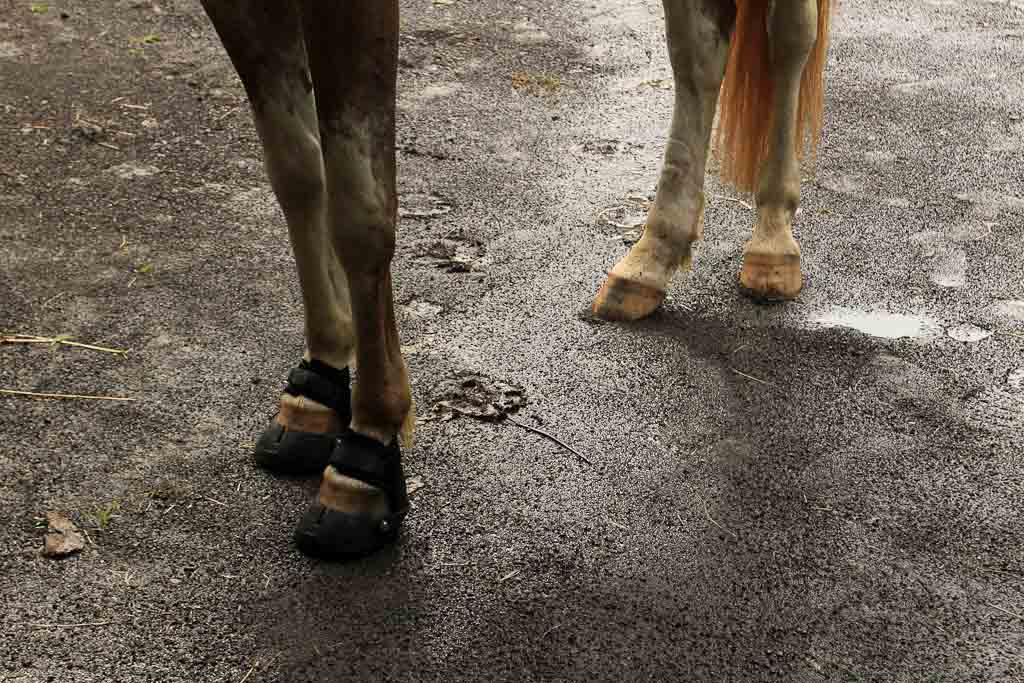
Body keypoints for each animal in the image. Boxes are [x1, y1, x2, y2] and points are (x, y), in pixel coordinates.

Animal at [199, 0, 833, 560]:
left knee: (788, 32)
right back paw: (651, 256)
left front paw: (366, 454)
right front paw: (317, 383)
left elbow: (359, 210)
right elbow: (296, 169)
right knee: (700, 50)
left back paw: (772, 242)